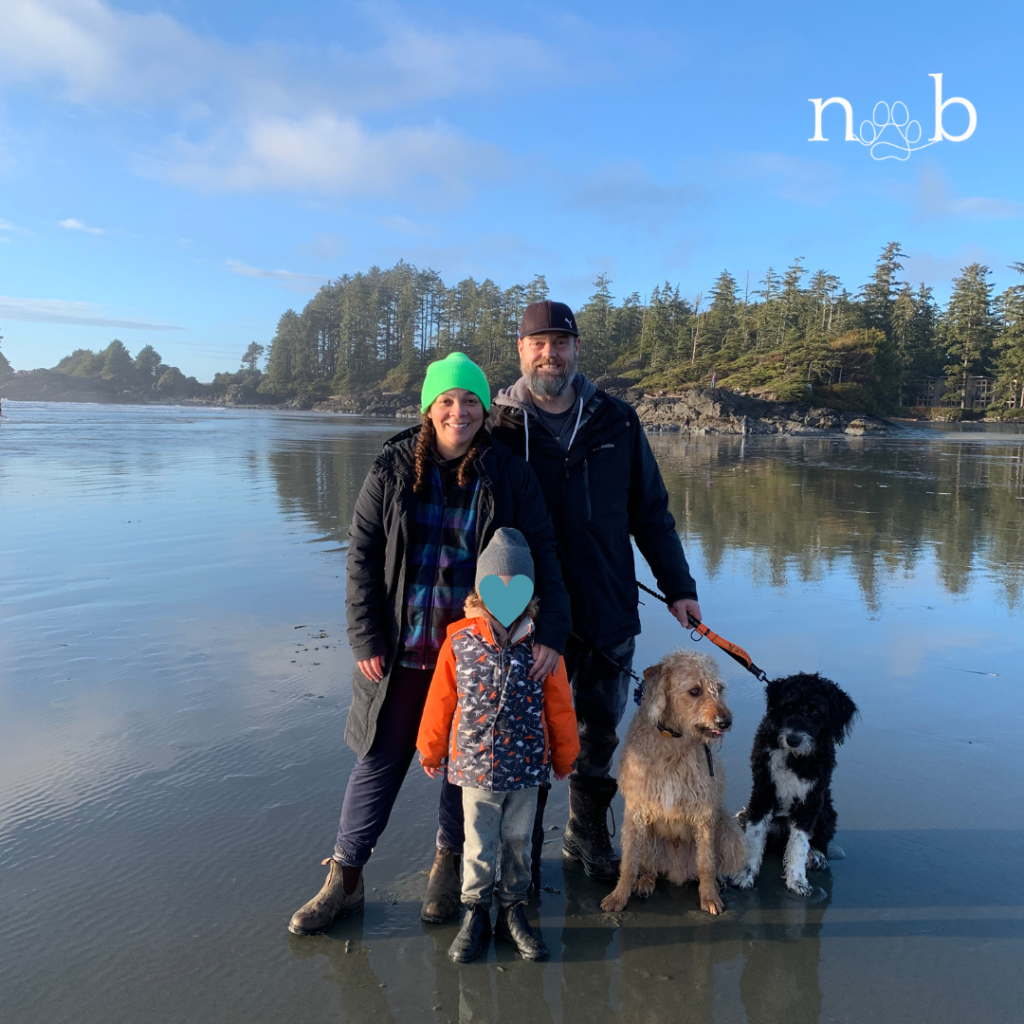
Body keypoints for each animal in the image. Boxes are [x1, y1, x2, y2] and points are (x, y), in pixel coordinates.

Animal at [598, 651, 745, 917]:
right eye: (695, 691)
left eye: (719, 688)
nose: (725, 721)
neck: (673, 738)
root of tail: (678, 871)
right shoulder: (635, 809)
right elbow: (628, 862)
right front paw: (618, 896)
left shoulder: (704, 811)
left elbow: (707, 862)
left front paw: (709, 896)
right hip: (647, 835)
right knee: (648, 867)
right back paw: (645, 881)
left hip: (730, 836)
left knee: (710, 865)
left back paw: (715, 883)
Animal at [733, 675, 860, 892]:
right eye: (789, 706)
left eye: (816, 711)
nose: (793, 739)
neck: (794, 757)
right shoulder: (763, 791)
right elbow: (755, 836)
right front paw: (745, 874)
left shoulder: (811, 801)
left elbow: (800, 842)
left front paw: (797, 880)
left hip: (827, 812)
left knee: (820, 840)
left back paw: (816, 855)